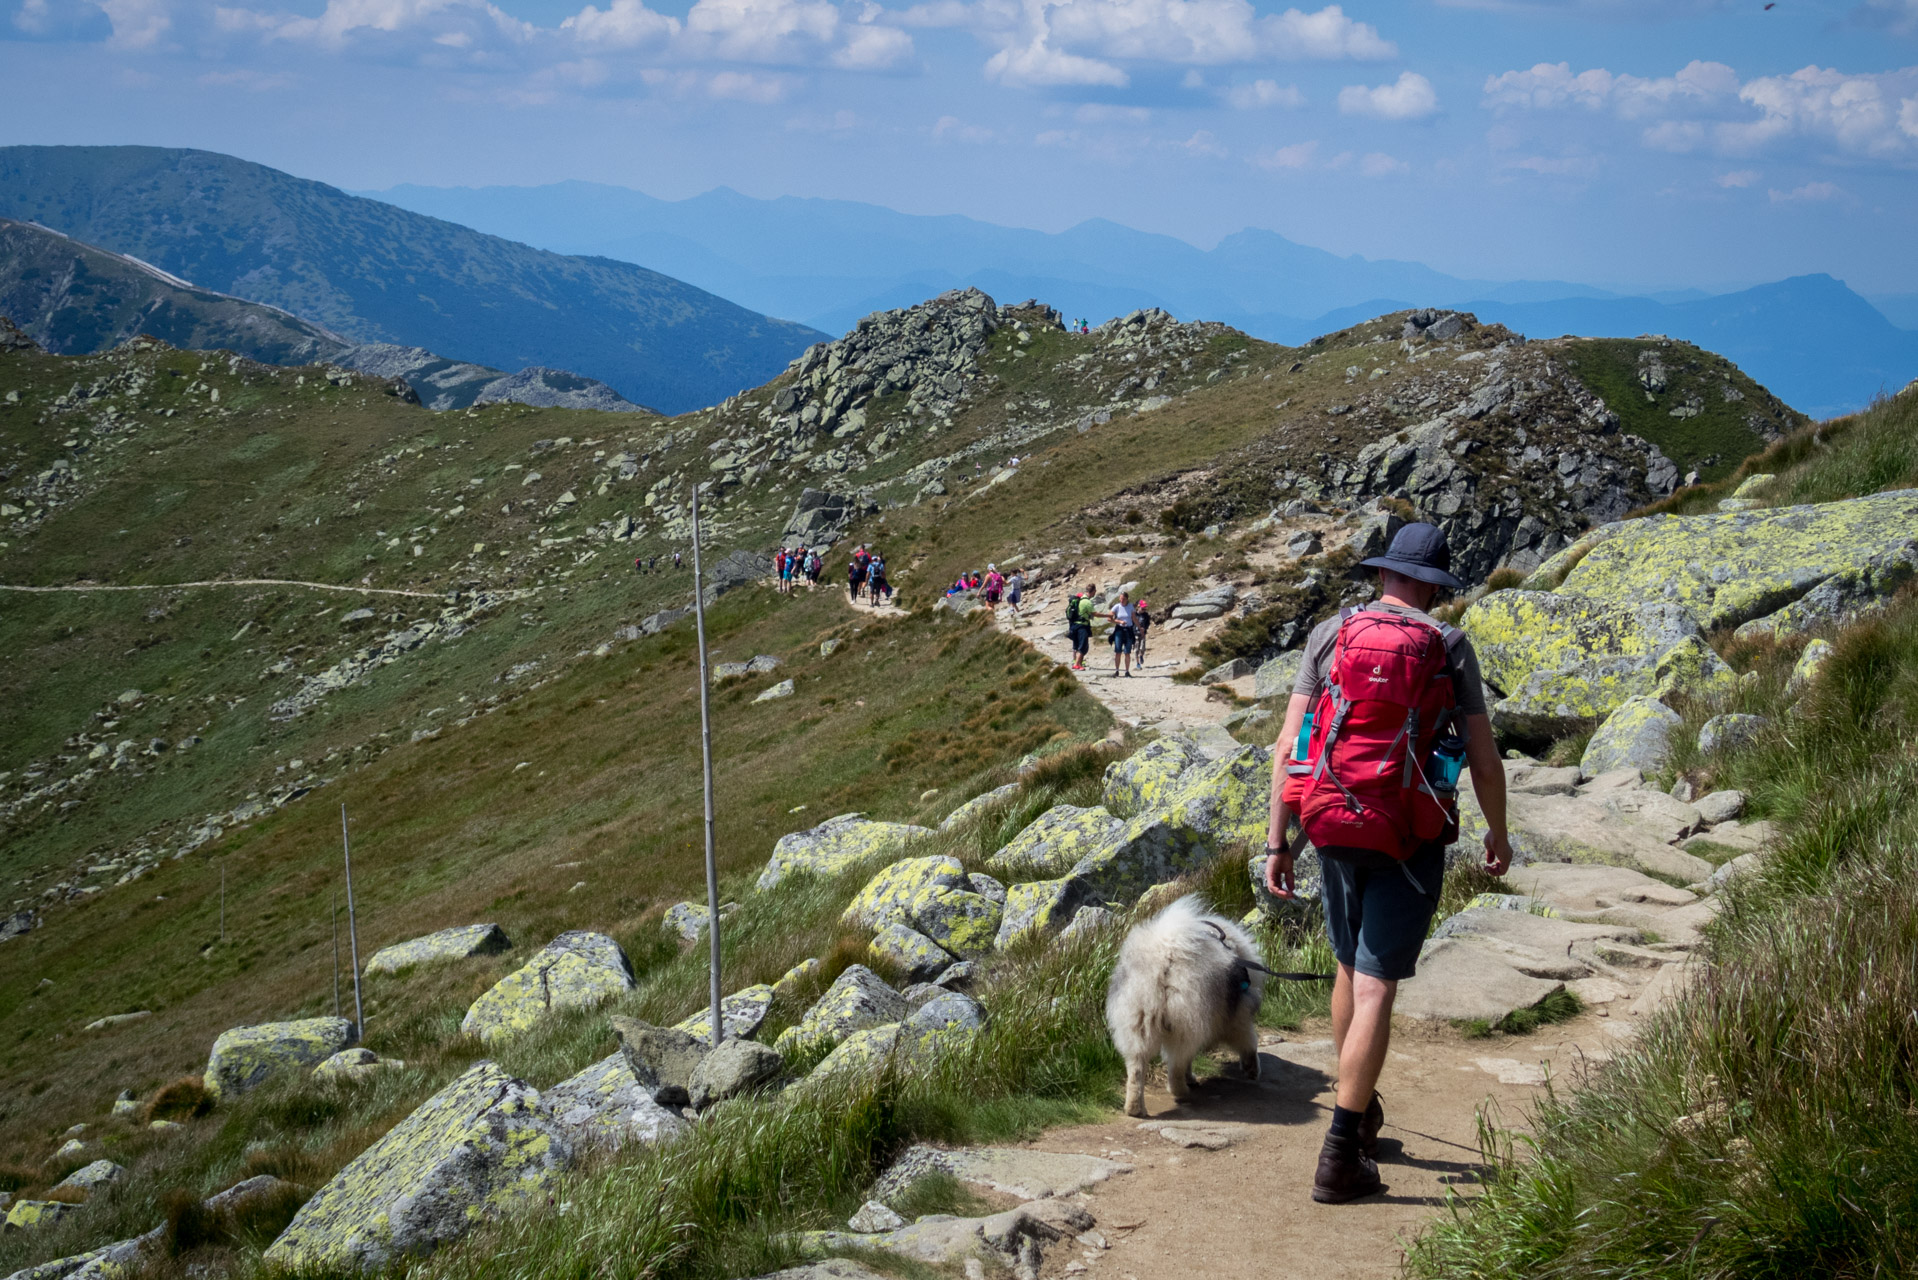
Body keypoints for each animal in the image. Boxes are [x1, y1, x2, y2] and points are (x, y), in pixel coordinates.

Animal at [1104, 898, 1265, 1113]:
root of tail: (1165, 959)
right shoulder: (1238, 1017)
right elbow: (1249, 1043)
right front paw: (1252, 1070)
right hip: (1184, 1026)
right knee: (1176, 1066)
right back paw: (1181, 1091)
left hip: (1137, 1025)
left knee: (1137, 1069)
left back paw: (1135, 1108)